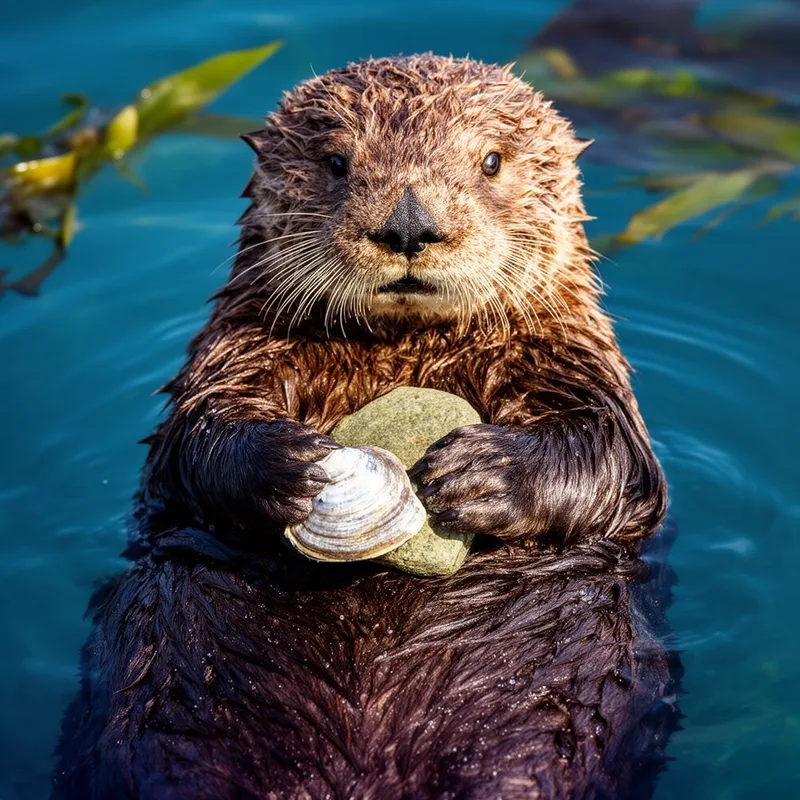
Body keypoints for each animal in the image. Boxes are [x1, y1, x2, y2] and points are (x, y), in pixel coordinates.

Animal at [52, 55, 679, 799]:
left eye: (492, 161)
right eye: (335, 161)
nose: (409, 227)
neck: (405, 355)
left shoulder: (576, 361)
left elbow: (612, 460)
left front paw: (475, 475)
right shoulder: (233, 351)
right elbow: (193, 444)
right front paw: (293, 466)